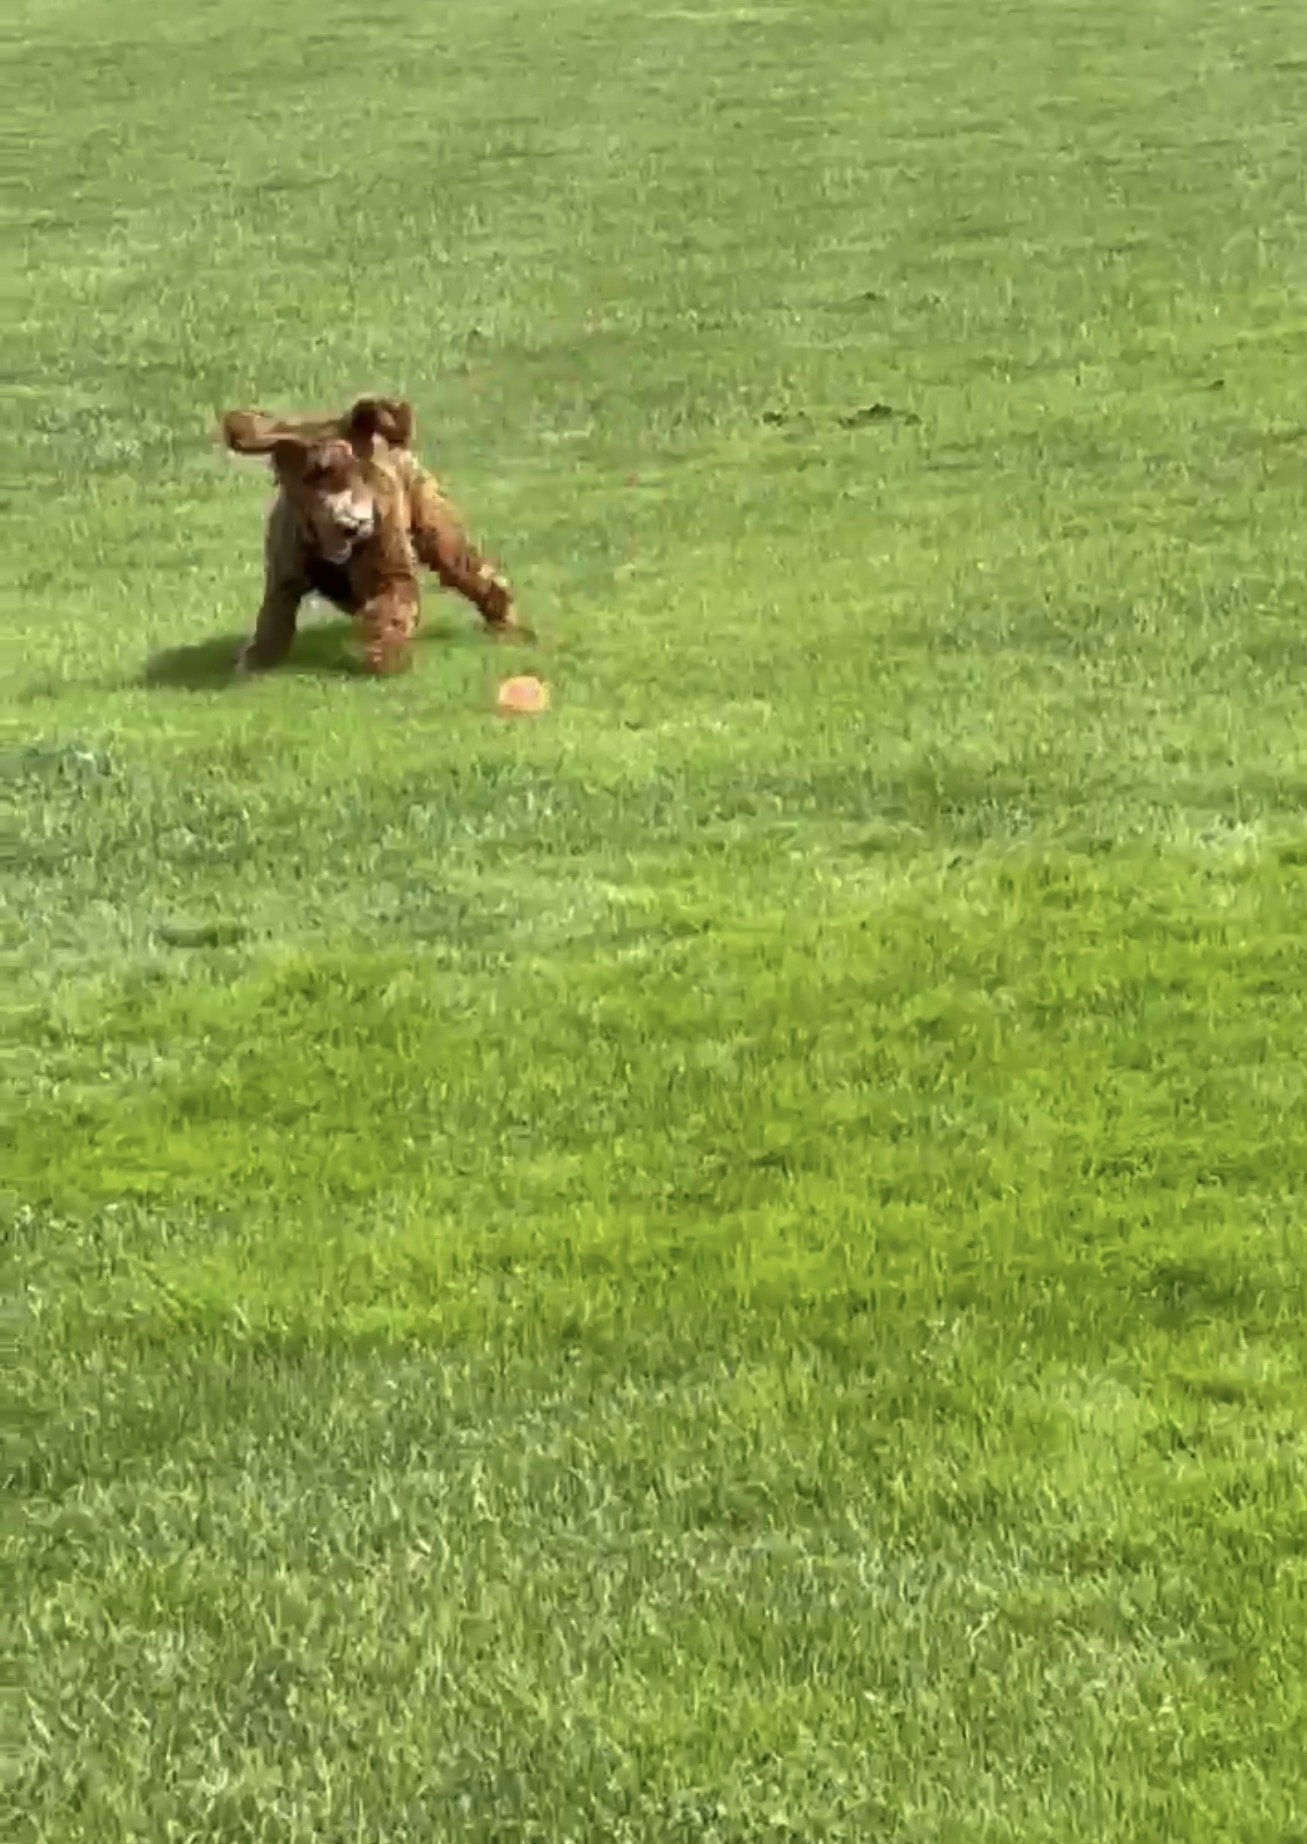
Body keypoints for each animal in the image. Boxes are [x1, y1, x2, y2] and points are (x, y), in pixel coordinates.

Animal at [221, 395, 522, 675]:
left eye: (359, 472)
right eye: (314, 478)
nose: (353, 523)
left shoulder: (384, 544)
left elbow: (394, 593)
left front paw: (386, 657)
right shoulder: (289, 556)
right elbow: (276, 608)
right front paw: (255, 659)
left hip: (424, 506)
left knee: (460, 562)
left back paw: (504, 620)